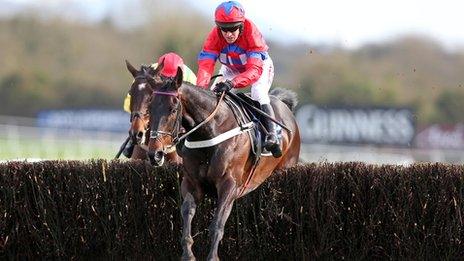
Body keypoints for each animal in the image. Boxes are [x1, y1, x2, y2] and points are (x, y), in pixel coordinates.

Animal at [148, 66, 300, 258]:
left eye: (173, 109)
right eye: (150, 108)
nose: (155, 154)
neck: (210, 131)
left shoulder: (229, 184)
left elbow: (217, 225)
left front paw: (212, 257)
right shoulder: (191, 182)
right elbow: (187, 213)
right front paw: (188, 254)